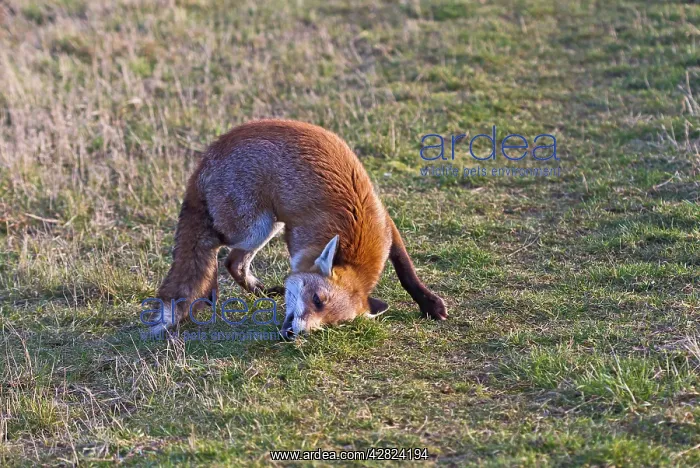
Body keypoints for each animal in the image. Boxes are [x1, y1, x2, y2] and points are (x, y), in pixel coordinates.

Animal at [152, 119, 447, 338]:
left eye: (331, 323)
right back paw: (209, 293)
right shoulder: (297, 234)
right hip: (256, 226)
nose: (297, 333)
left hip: (267, 226)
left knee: (233, 263)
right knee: (212, 250)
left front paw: (428, 303)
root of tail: (208, 155)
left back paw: (258, 292)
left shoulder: (388, 226)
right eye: (317, 300)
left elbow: (406, 269)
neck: (355, 243)